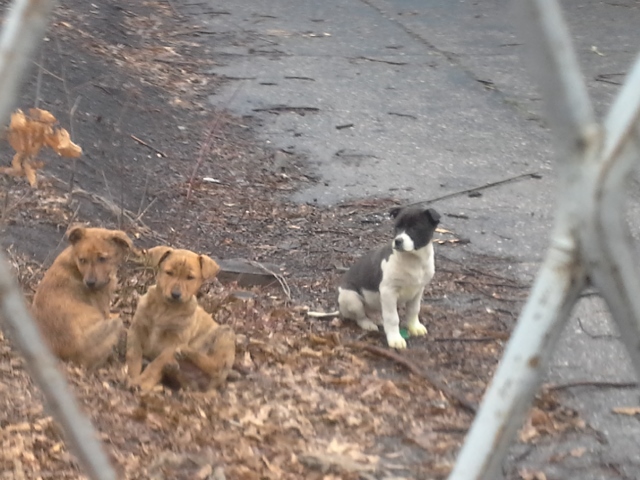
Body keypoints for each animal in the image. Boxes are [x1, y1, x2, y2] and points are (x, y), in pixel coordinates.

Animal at [32, 227, 134, 370]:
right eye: (82, 260)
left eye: (102, 258)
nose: (90, 283)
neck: (74, 263)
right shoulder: (103, 307)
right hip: (114, 326)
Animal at [126, 246, 236, 392]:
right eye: (169, 273)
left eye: (190, 277)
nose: (176, 294)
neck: (165, 309)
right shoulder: (137, 328)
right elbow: (133, 355)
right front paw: (132, 376)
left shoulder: (174, 342)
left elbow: (156, 364)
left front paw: (142, 382)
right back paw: (175, 368)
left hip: (225, 333)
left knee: (216, 366)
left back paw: (185, 352)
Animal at [340, 206, 440, 348]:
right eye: (397, 227)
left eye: (414, 228)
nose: (398, 241)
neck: (413, 260)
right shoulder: (389, 292)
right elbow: (393, 318)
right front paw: (395, 338)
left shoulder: (418, 290)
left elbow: (414, 310)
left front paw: (414, 327)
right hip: (351, 298)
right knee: (360, 317)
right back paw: (368, 324)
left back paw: (377, 319)